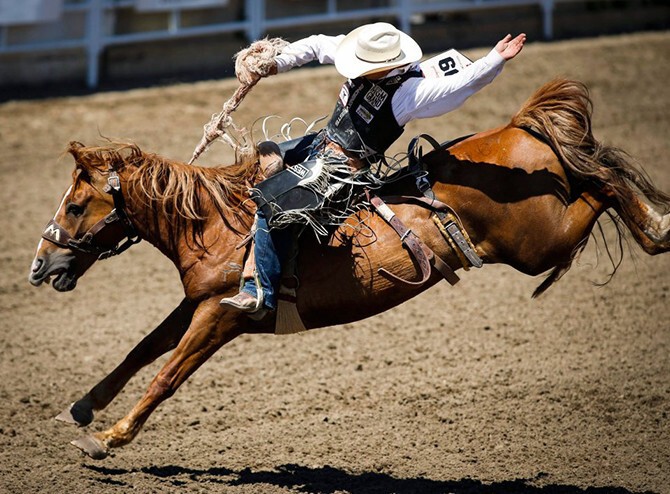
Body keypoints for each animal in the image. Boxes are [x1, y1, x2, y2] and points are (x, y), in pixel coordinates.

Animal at [28, 78, 668, 460]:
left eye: (77, 205)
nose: (39, 264)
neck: (218, 225)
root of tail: (514, 127)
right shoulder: (196, 302)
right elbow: (142, 349)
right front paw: (83, 408)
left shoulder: (222, 315)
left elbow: (167, 373)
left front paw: (108, 439)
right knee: (599, 173)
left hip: (538, 244)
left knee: (604, 181)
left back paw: (659, 225)